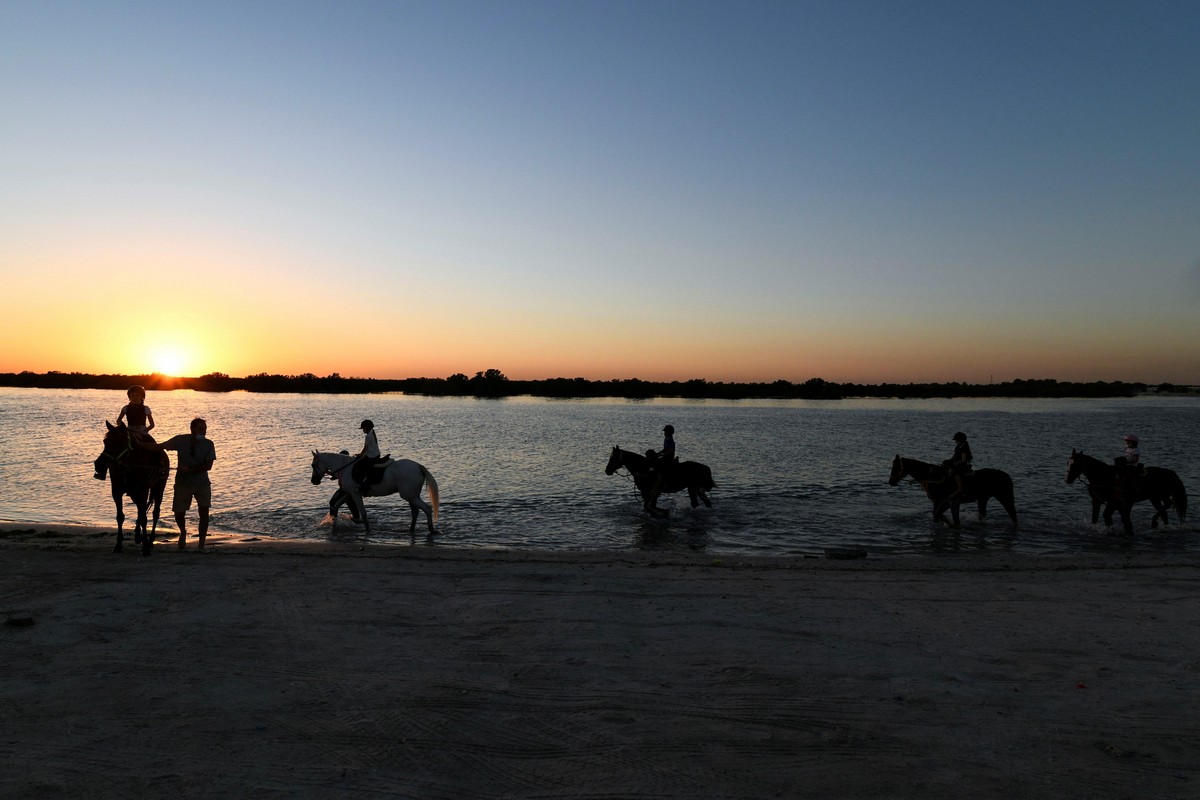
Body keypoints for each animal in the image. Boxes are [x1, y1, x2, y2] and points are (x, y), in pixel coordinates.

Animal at [98, 419, 169, 556]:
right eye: (105, 441)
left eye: (119, 442)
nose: (99, 464)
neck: (129, 463)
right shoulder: (116, 491)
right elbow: (120, 517)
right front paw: (118, 545)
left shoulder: (143, 490)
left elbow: (144, 517)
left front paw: (146, 547)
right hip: (134, 493)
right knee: (141, 509)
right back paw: (137, 535)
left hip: (159, 488)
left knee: (155, 512)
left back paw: (150, 540)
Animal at [309, 453, 441, 534]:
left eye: (313, 465)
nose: (313, 481)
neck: (345, 469)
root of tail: (418, 466)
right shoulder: (349, 494)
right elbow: (336, 506)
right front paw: (335, 523)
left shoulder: (355, 494)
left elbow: (363, 512)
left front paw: (367, 529)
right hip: (411, 496)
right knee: (415, 511)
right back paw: (411, 529)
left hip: (410, 496)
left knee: (427, 508)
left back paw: (431, 529)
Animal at [888, 455, 1017, 532]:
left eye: (896, 467)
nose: (890, 482)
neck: (932, 475)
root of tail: (1007, 476)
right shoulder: (939, 502)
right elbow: (937, 515)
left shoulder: (938, 501)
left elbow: (937, 515)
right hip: (982, 499)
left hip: (1005, 498)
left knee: (1012, 513)